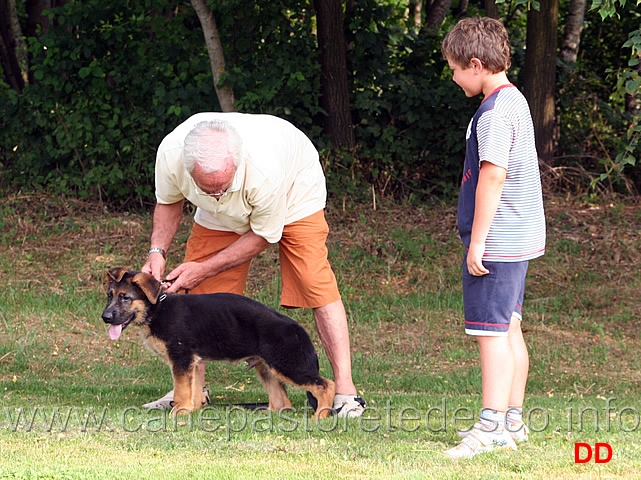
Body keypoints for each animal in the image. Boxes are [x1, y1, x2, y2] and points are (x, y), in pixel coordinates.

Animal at [100, 268, 336, 418]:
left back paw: (320, 416)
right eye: (110, 296)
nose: (105, 317)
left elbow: (181, 391)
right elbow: (193, 390)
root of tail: (298, 328)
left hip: (287, 366)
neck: (156, 308)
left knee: (326, 385)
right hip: (267, 369)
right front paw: (192, 410)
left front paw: (179, 413)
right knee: (283, 404)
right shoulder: (192, 362)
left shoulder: (181, 359)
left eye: (125, 298)